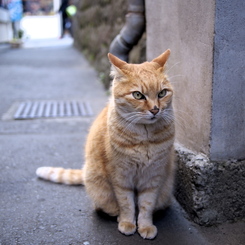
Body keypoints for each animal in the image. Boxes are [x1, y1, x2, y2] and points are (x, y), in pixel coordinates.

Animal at [35, 49, 175, 239]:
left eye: (162, 93)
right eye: (138, 95)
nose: (155, 109)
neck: (144, 138)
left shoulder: (153, 177)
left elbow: (146, 204)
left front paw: (145, 226)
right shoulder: (120, 176)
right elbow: (127, 203)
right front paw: (127, 223)